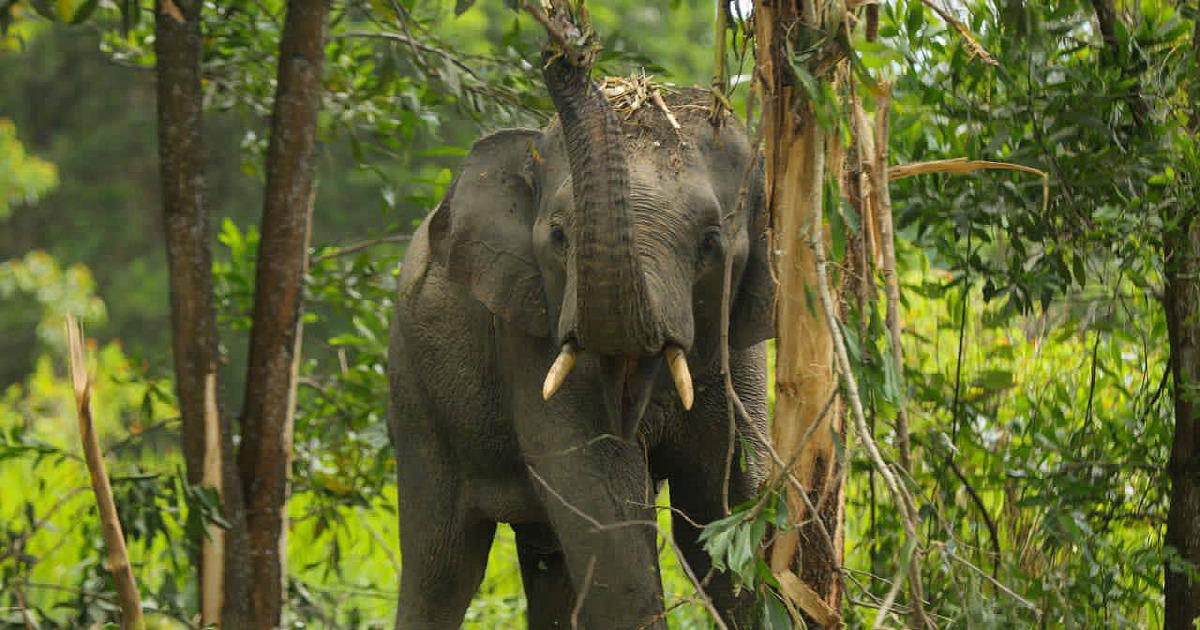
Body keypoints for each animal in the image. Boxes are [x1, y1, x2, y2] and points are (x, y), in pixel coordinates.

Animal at [388, 72, 772, 624]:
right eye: (558, 236)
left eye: (711, 241)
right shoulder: (531, 337)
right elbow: (604, 511)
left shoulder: (737, 354)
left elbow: (725, 509)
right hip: (414, 389)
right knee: (441, 565)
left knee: (547, 563)